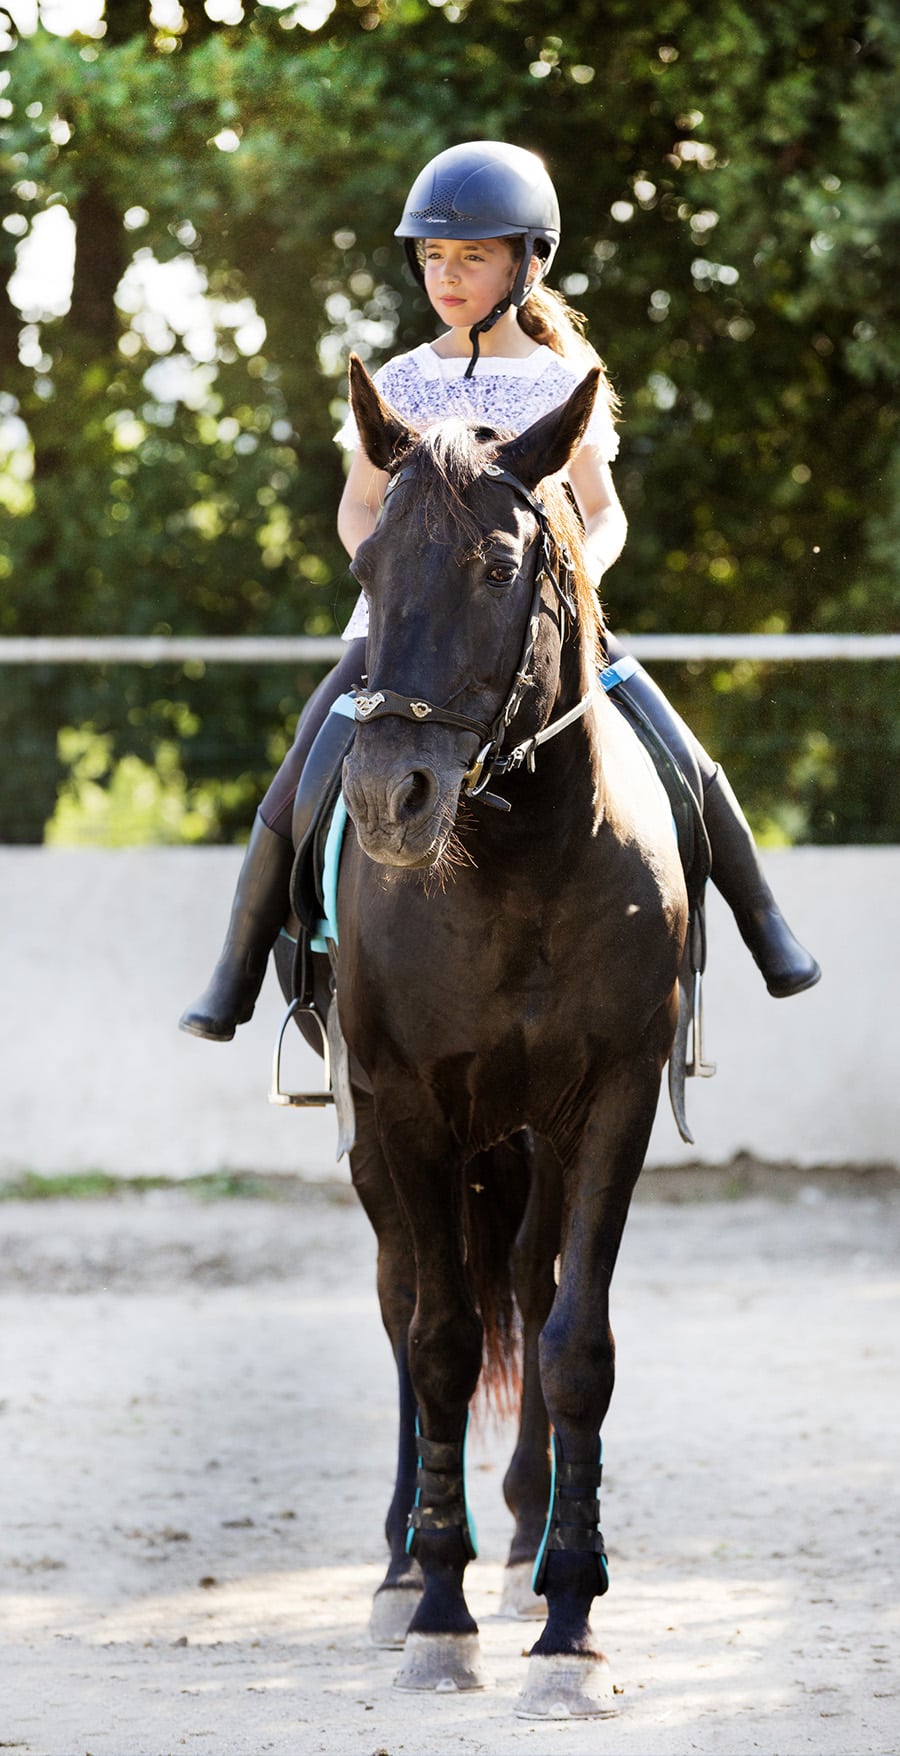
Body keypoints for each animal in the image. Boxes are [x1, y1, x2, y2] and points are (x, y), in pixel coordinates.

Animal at [300, 356, 680, 1713]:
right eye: (368, 565)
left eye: (499, 564)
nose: (388, 799)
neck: (513, 869)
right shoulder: (407, 1104)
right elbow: (441, 1343)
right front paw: (439, 1613)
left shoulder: (614, 1100)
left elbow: (574, 1346)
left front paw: (567, 1618)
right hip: (385, 1140)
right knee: (408, 1298)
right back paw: (404, 1563)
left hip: (534, 1141)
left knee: (526, 1278)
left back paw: (518, 1542)